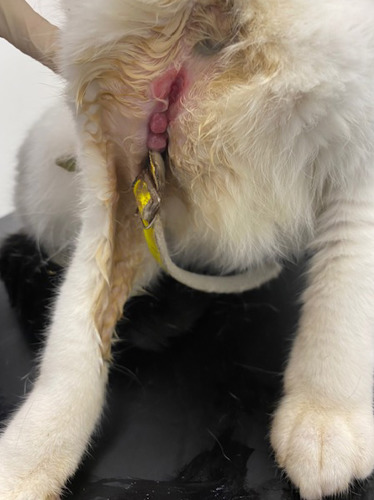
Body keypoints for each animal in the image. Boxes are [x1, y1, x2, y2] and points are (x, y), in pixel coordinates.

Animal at [0, 0, 374, 500]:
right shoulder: (115, 179)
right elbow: (74, 330)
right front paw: (28, 455)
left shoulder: (359, 158)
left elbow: (343, 298)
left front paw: (325, 417)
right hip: (45, 171)